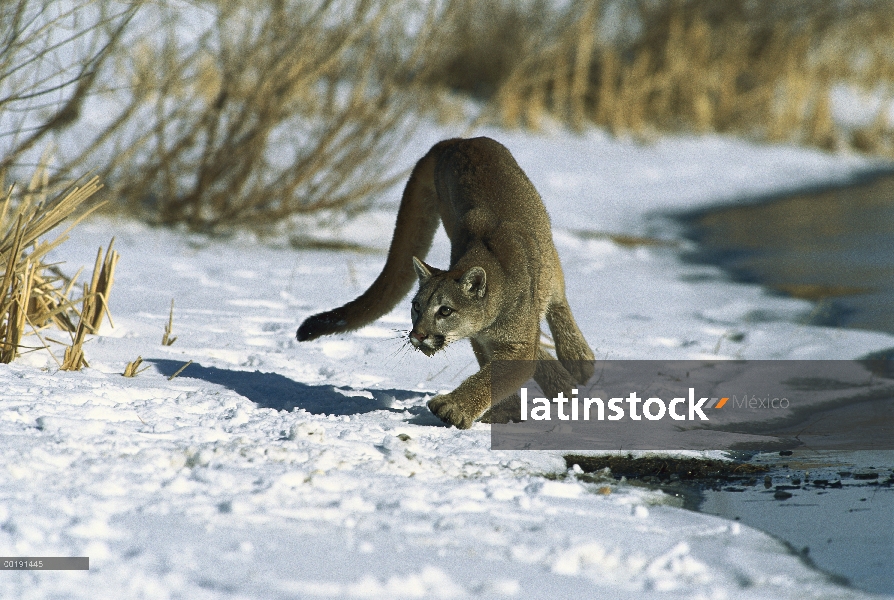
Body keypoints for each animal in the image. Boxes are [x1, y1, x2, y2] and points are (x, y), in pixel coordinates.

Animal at [298, 137, 600, 426]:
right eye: (416, 307)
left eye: (445, 311)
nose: (418, 335)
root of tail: (458, 140)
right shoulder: (483, 340)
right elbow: (492, 371)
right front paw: (504, 412)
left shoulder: (516, 344)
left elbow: (496, 374)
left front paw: (453, 409)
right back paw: (561, 383)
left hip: (547, 252)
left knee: (558, 300)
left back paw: (578, 358)